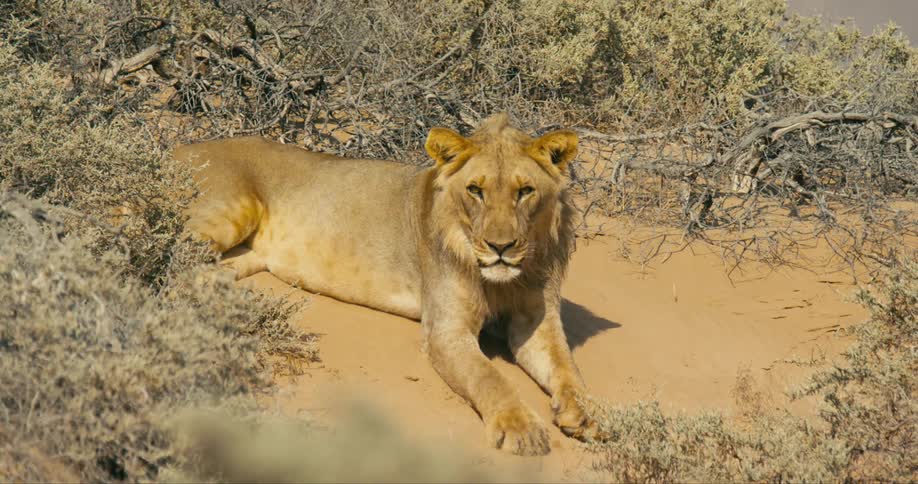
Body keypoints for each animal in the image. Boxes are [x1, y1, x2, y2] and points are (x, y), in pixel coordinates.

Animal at [173, 113, 599, 455]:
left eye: (525, 191)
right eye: (475, 191)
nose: (500, 247)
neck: (504, 280)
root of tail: (180, 147)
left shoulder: (535, 322)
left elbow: (566, 367)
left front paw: (590, 413)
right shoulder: (446, 331)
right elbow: (489, 377)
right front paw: (520, 427)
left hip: (242, 256)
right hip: (226, 211)